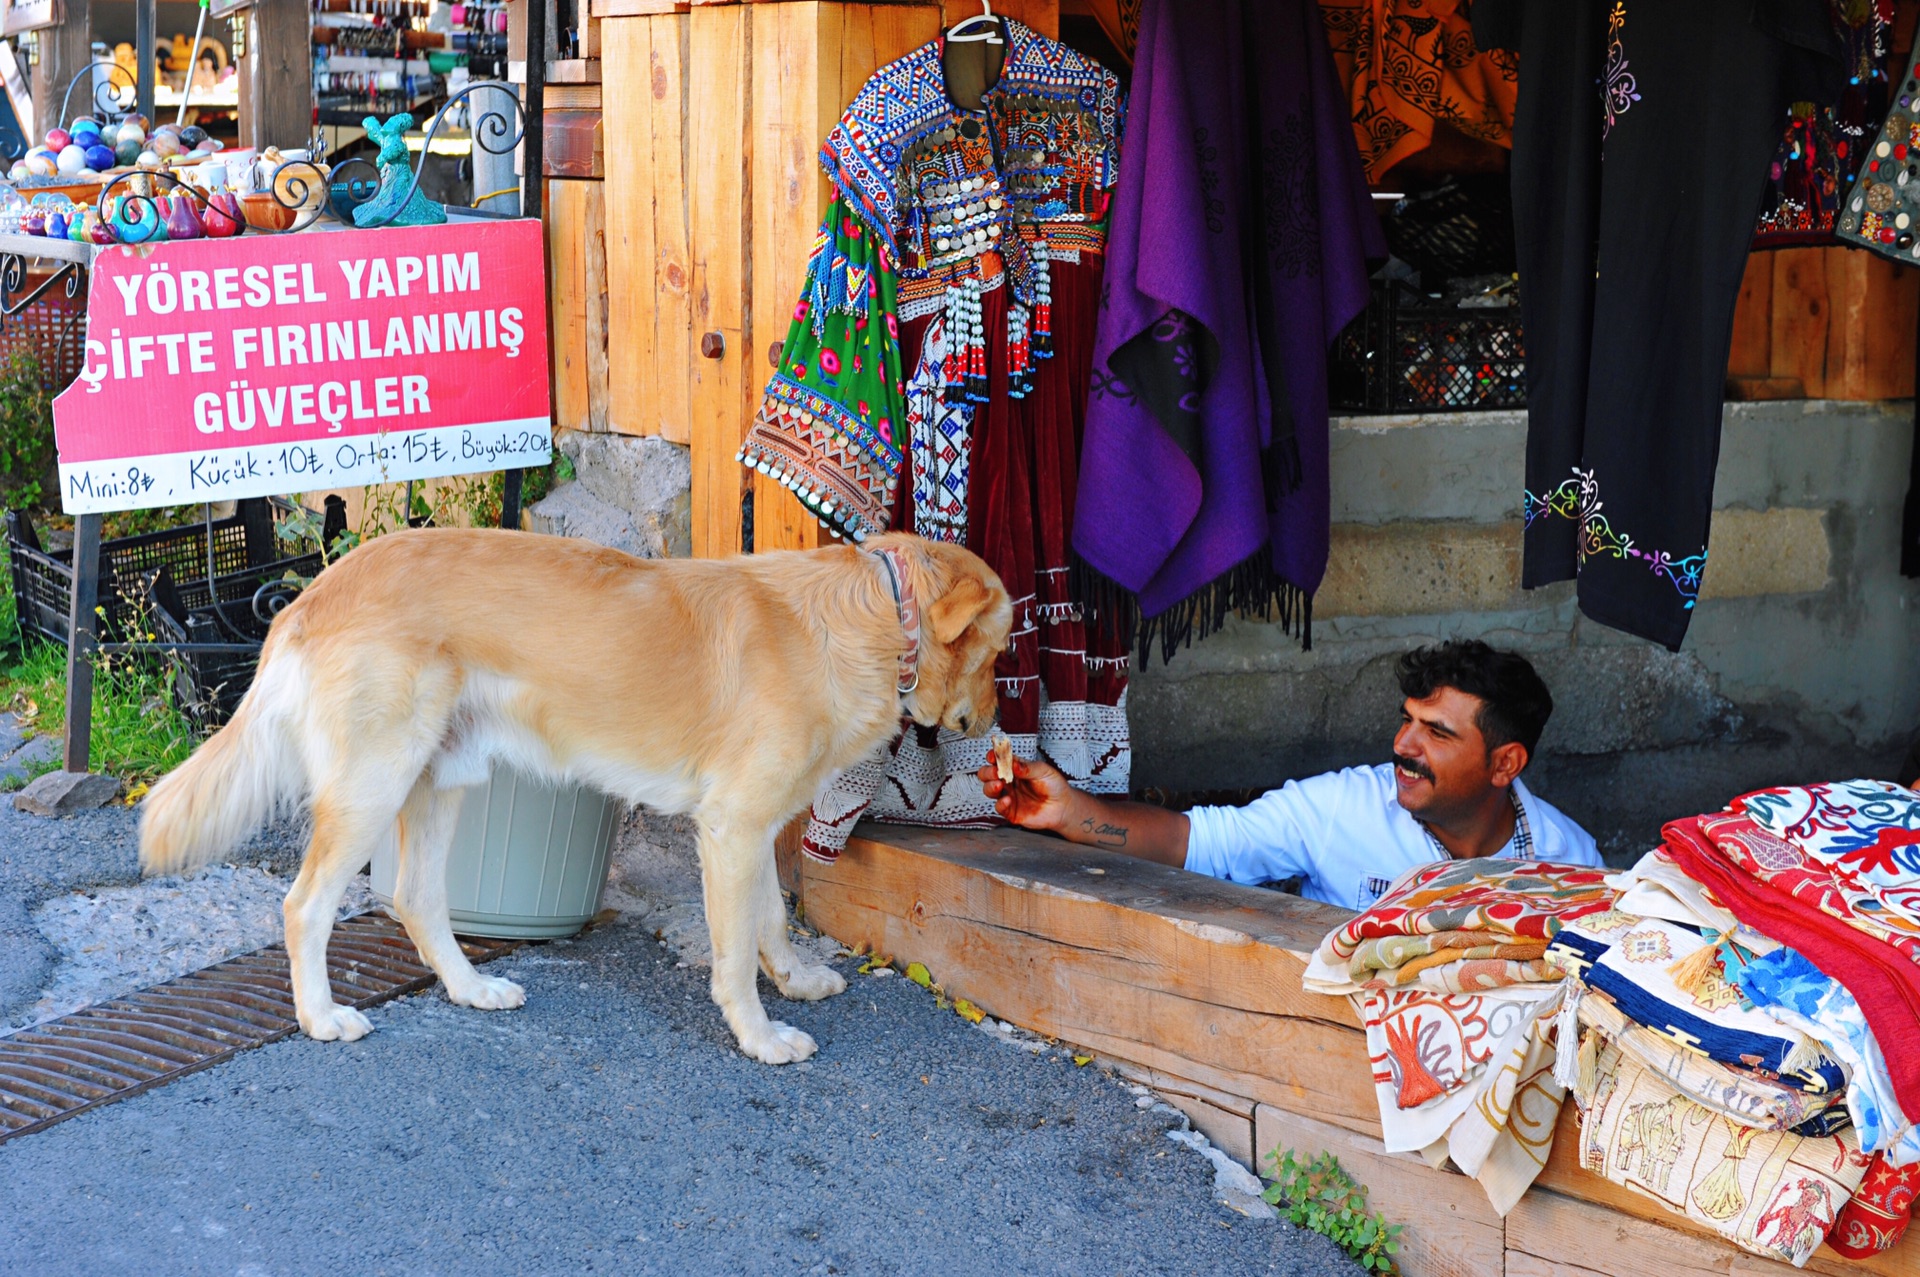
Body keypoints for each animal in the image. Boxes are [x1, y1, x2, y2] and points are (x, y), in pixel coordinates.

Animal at [140, 522, 1013, 1060]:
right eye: (1001, 649)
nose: (995, 721)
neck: (874, 615)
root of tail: (315, 589)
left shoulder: (752, 827)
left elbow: (770, 917)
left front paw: (794, 980)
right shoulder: (731, 827)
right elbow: (735, 954)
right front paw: (760, 1036)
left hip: (442, 780)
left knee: (417, 898)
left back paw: (470, 988)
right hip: (372, 786)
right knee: (304, 905)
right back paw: (320, 1016)